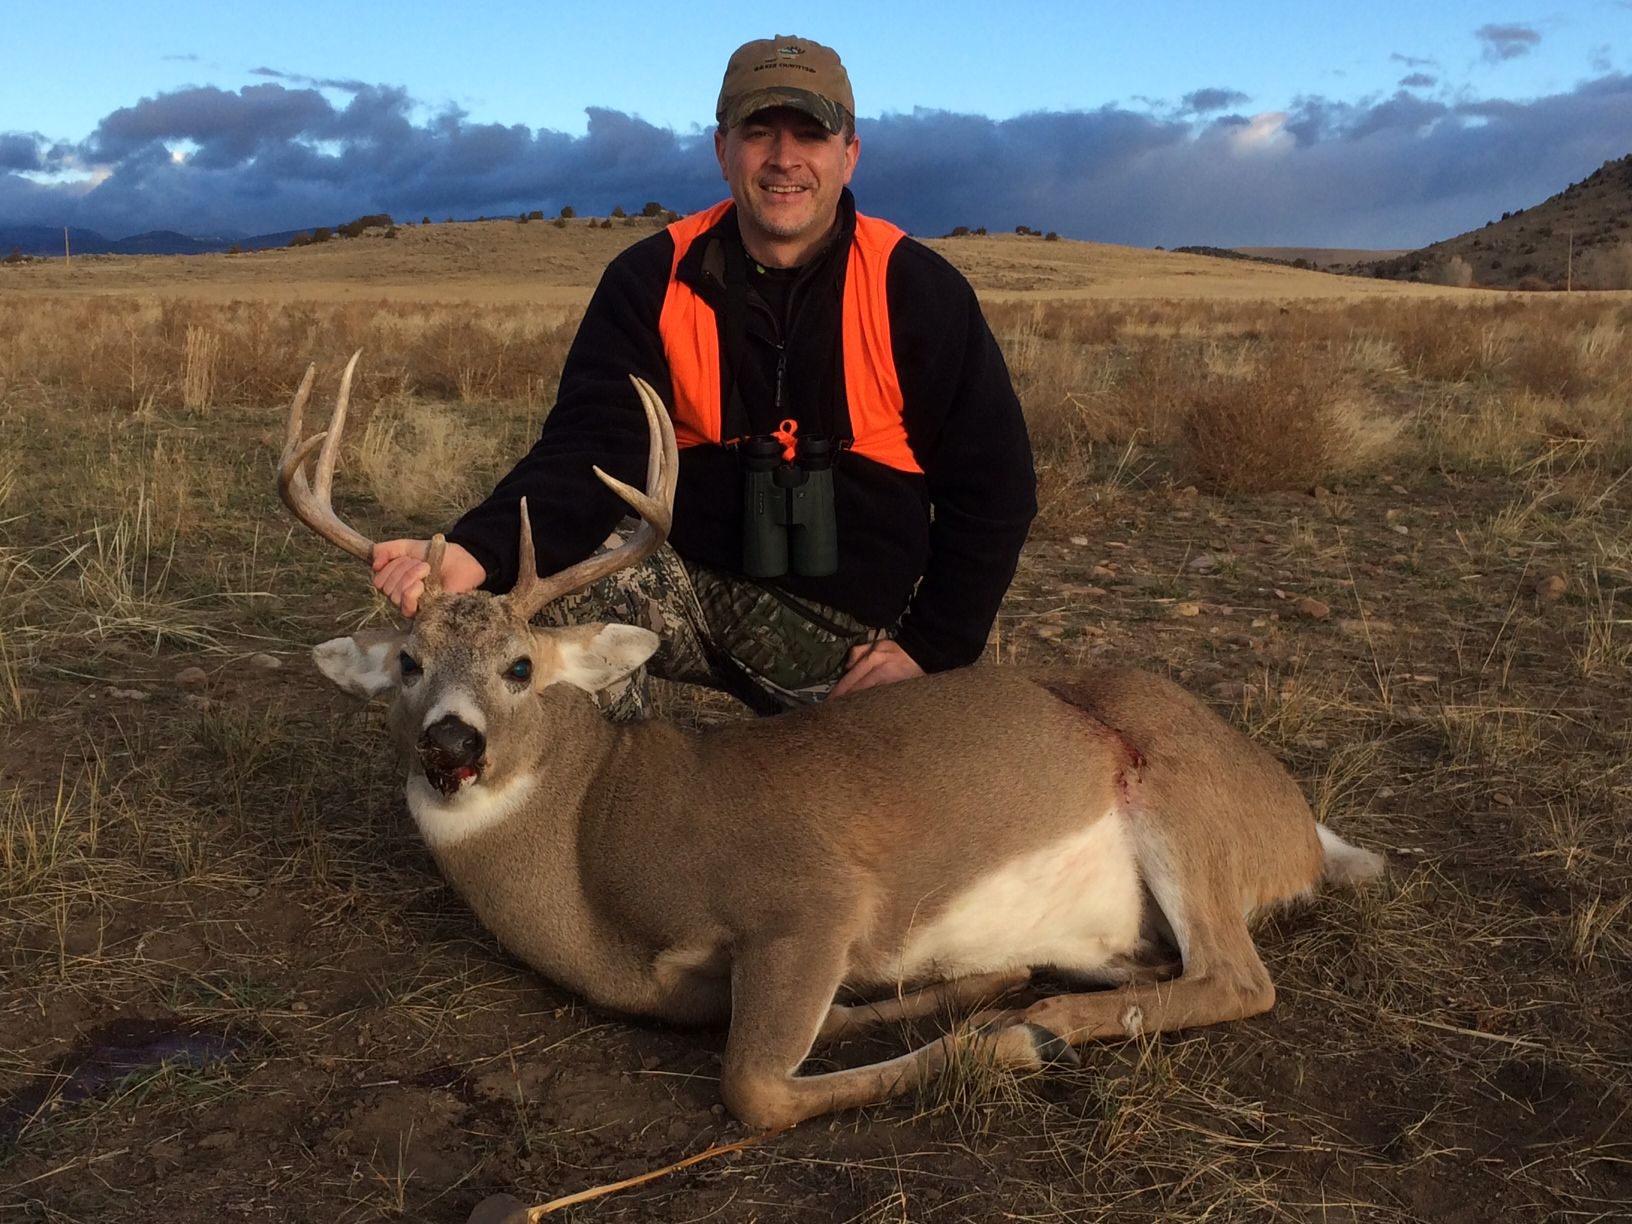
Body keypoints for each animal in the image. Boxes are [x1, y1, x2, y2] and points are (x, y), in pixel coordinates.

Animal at [279, 352, 1384, 1134]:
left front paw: (1004, 1040)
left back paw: (1052, 1028)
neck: (588, 847)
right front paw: (984, 989)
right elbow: (833, 1022)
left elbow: (757, 1086)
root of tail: (1297, 827)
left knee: (1239, 978)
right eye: (408, 663)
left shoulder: (812, 900)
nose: (451, 745)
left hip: (1177, 794)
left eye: (519, 667)